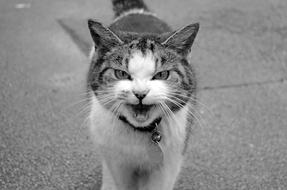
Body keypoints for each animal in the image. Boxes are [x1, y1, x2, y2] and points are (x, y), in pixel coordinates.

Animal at [88, 0, 200, 189]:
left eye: (162, 75)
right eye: (121, 73)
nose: (140, 93)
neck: (140, 132)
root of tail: (136, 12)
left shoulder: (169, 163)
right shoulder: (118, 163)